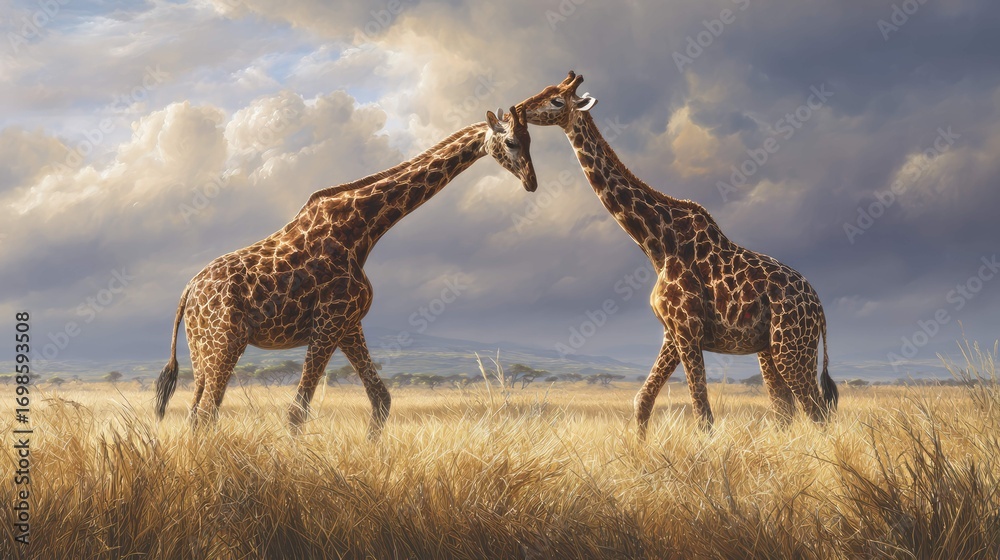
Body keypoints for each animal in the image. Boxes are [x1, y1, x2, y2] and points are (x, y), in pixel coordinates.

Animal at [155, 106, 536, 437]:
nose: (531, 182)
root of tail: (188, 289)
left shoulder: (349, 324)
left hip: (202, 348)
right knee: (206, 411)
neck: (361, 230)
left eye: (530, 139)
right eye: (511, 142)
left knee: (197, 411)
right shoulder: (328, 323)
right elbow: (297, 412)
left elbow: (381, 399)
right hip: (226, 341)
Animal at [518, 72, 837, 437]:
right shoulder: (672, 331)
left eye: (556, 100)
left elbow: (702, 412)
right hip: (768, 348)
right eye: (544, 90)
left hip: (791, 346)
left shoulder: (688, 329)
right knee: (785, 407)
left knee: (815, 410)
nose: (520, 109)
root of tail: (819, 308)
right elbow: (642, 400)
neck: (657, 243)